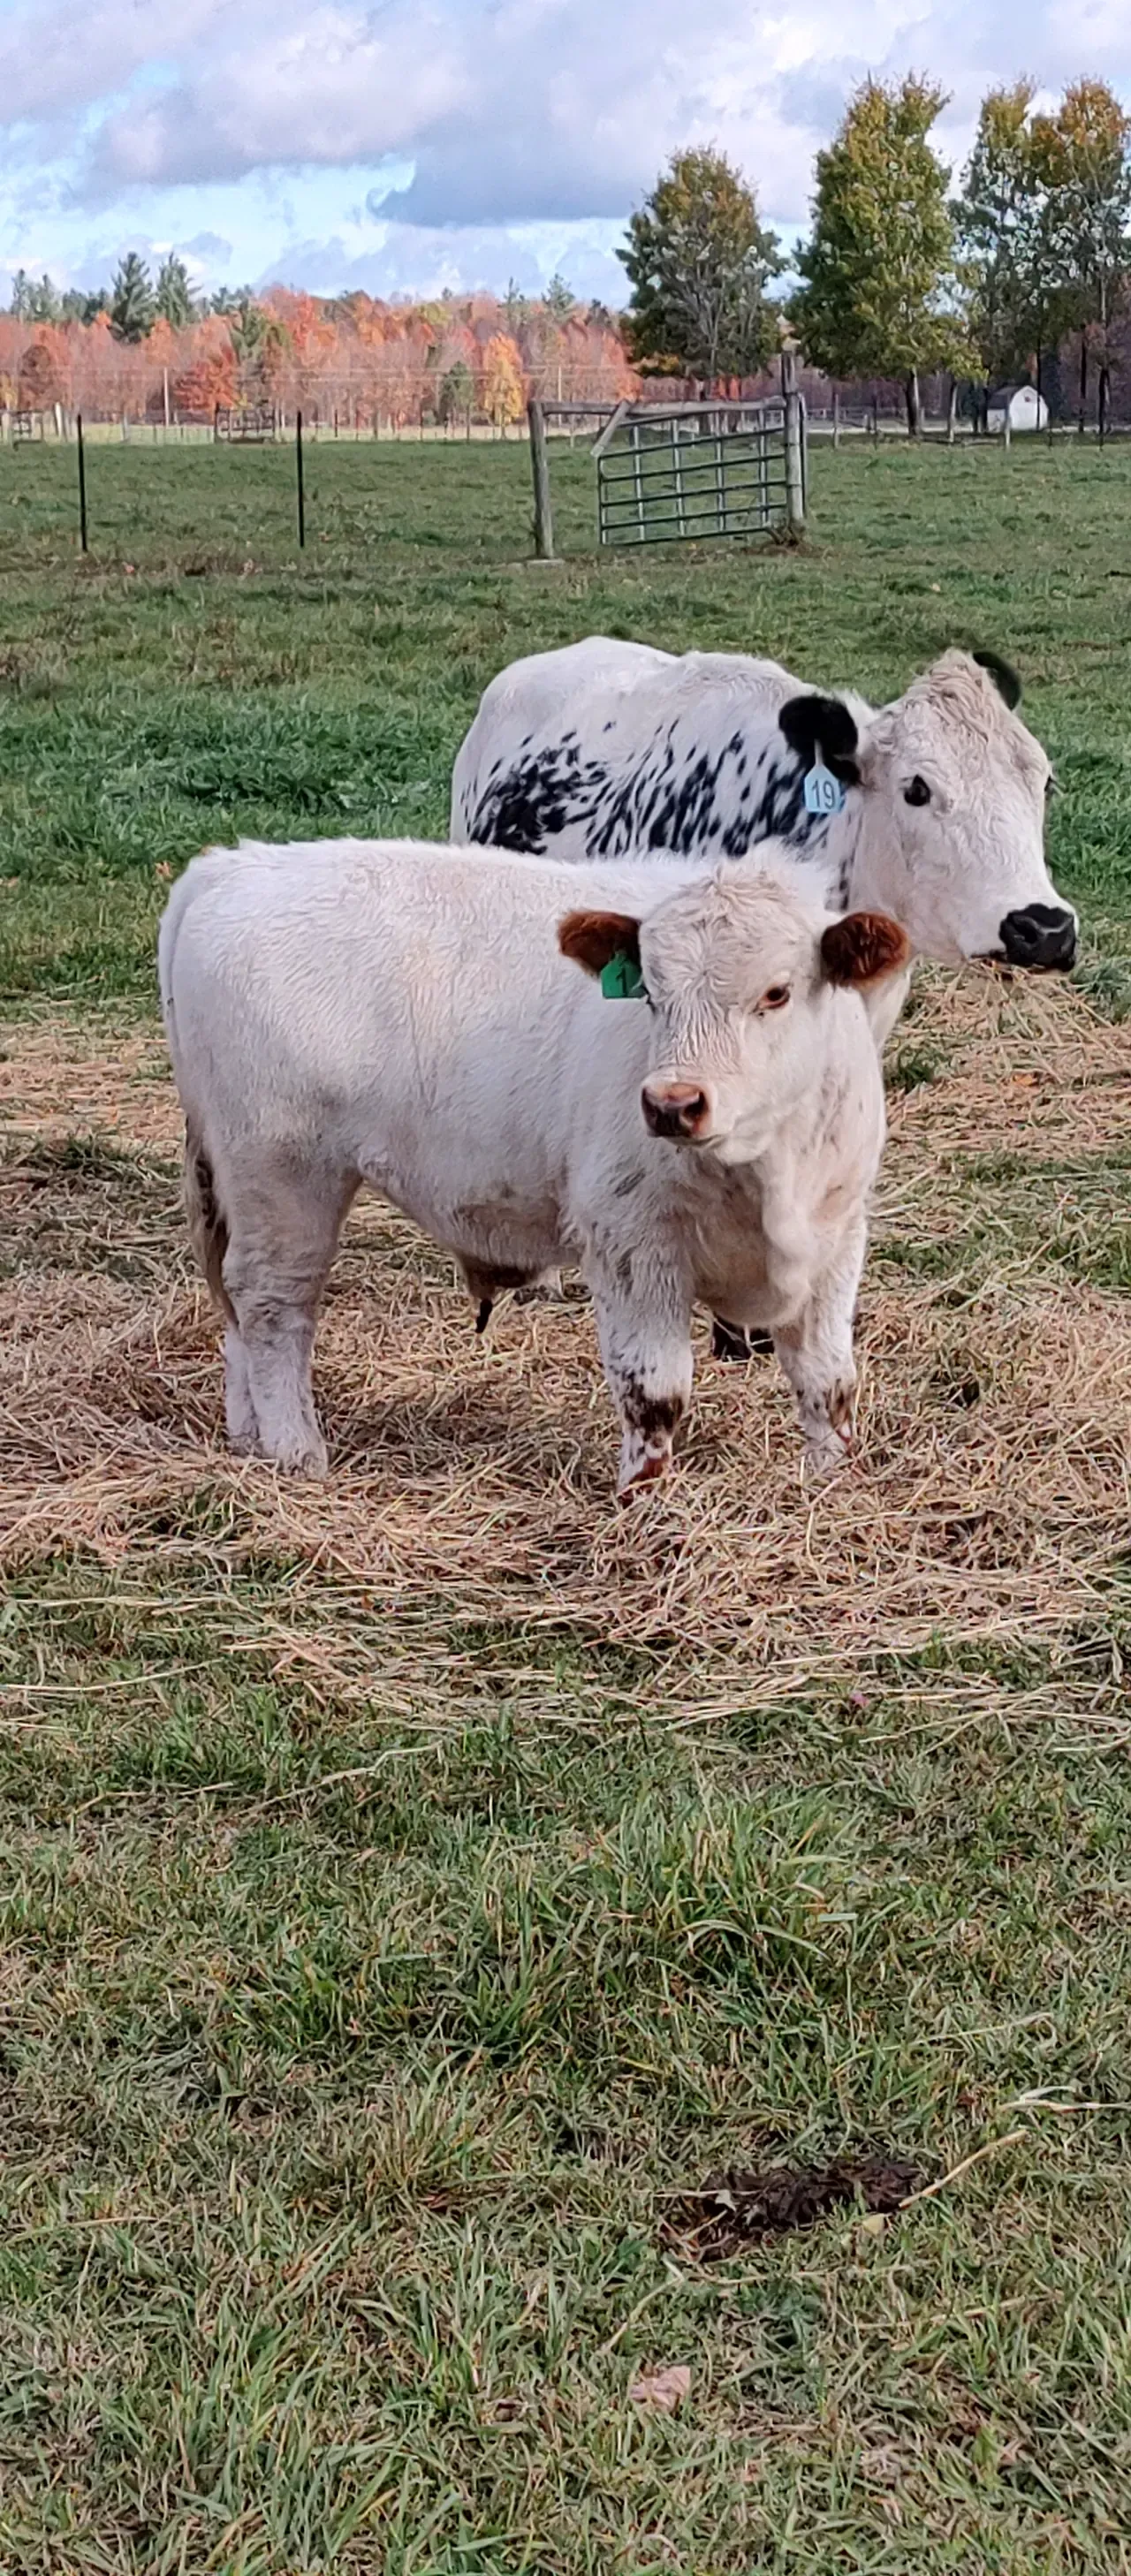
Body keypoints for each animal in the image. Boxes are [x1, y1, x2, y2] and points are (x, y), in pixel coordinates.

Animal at [158, 836, 909, 1498]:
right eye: (650, 992)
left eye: (776, 993)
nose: (672, 1104)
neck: (765, 1173)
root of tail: (237, 866)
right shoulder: (628, 1243)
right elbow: (654, 1391)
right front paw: (645, 1505)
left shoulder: (837, 1238)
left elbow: (828, 1381)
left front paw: (833, 1488)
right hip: (283, 1176)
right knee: (272, 1306)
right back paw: (295, 1452)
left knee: (237, 1312)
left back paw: (249, 1440)